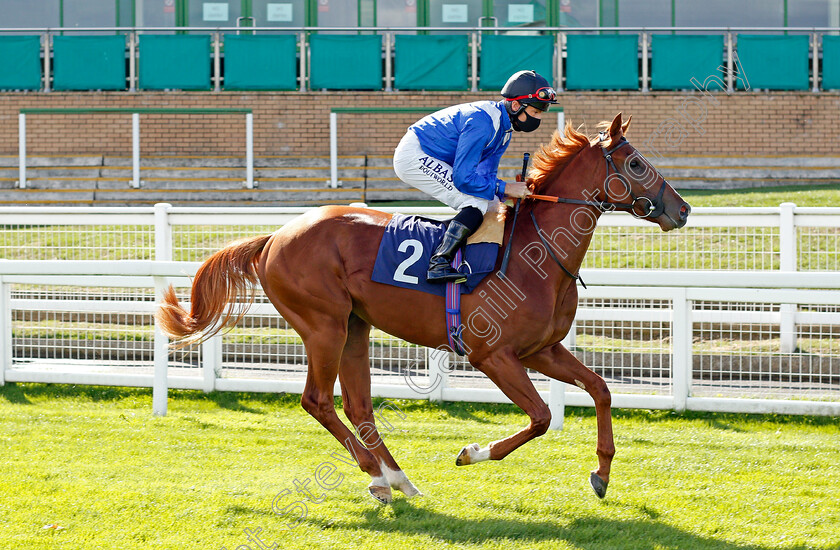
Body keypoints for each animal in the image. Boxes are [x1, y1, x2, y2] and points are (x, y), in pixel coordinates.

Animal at [156, 114, 688, 506]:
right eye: (635, 163)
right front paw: (472, 452)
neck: (535, 253)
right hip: (323, 325)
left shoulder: (541, 349)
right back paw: (375, 475)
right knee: (318, 401)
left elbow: (600, 390)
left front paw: (601, 472)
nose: (682, 210)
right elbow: (539, 416)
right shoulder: (492, 355)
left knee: (359, 405)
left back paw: (396, 478)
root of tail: (274, 237)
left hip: (355, 327)